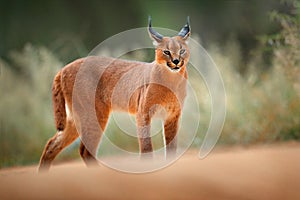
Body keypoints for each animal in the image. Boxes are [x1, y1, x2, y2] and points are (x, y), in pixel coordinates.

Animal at [38, 16, 191, 172]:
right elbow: (146, 146)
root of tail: (64, 68)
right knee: (85, 150)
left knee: (52, 144)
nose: (176, 61)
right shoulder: (143, 113)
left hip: (76, 117)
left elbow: (172, 148)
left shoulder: (172, 116)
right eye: (166, 52)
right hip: (94, 113)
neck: (172, 79)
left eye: (182, 50)